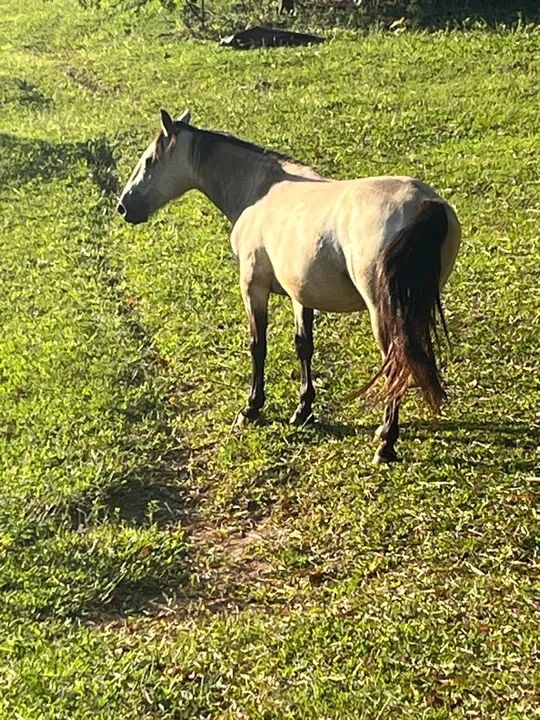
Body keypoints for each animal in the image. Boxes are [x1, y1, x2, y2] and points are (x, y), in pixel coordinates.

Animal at [117, 109, 461, 463]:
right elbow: (303, 346)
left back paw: (386, 443)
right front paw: (303, 410)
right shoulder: (302, 294)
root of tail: (426, 204)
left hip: (383, 313)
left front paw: (252, 408)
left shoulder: (253, 286)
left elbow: (258, 345)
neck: (260, 190)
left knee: (395, 367)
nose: (124, 206)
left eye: (149, 160)